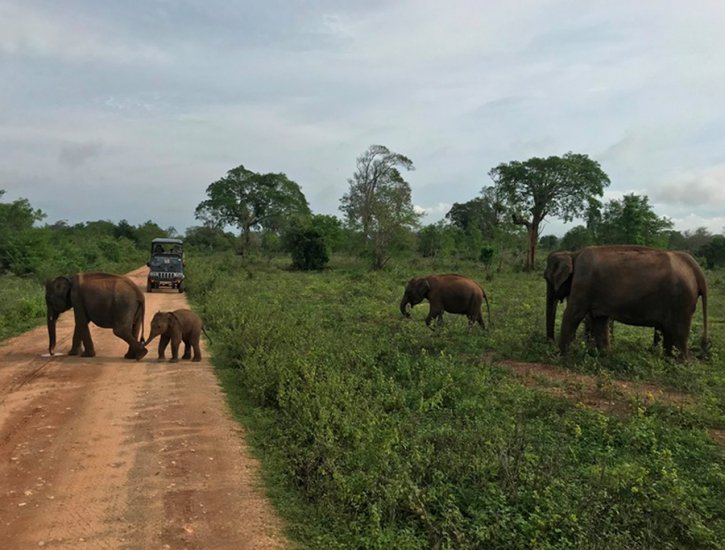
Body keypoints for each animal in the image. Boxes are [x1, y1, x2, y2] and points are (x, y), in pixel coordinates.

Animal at [544, 247, 708, 362]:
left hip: (681, 301)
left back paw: (680, 364)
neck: (573, 254)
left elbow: (572, 315)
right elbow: (600, 320)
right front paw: (605, 356)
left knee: (678, 331)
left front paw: (558, 357)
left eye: (546, 278)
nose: (549, 343)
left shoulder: (583, 282)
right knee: (669, 331)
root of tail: (695, 268)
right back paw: (668, 361)